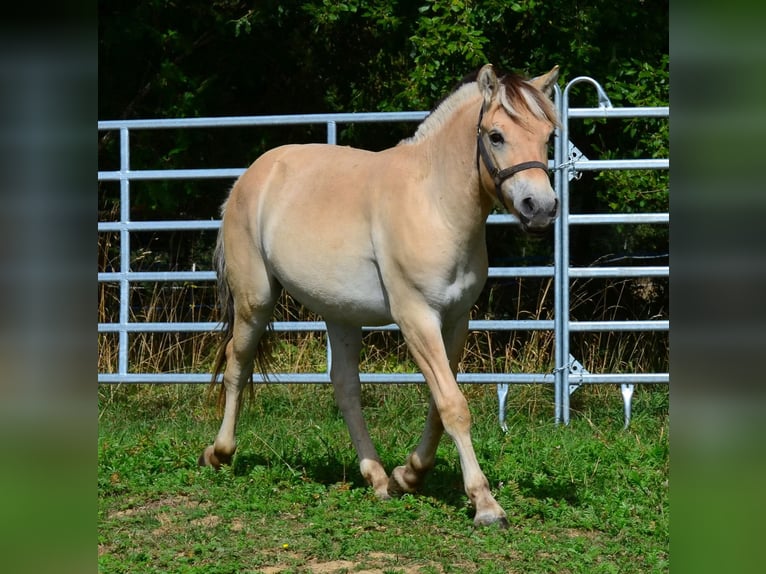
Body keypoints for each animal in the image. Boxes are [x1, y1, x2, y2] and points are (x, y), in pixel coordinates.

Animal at [199, 64, 560, 527]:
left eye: (548, 135)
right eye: (496, 136)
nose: (541, 208)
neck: (435, 203)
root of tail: (249, 178)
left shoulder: (456, 320)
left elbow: (439, 405)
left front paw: (409, 474)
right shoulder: (417, 318)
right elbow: (453, 405)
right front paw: (485, 504)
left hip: (340, 315)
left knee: (345, 387)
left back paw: (376, 477)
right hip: (255, 302)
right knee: (237, 366)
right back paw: (219, 453)